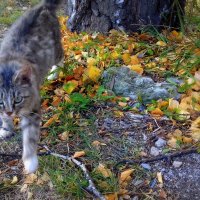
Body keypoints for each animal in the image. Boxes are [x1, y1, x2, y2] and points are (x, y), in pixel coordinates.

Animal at [0, 0, 63, 173]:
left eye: (18, 99)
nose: (10, 112)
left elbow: (30, 137)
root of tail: (43, 6)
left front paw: (30, 161)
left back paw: (55, 72)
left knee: (62, 57)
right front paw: (6, 128)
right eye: (0, 101)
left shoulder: (32, 110)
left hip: (55, 50)